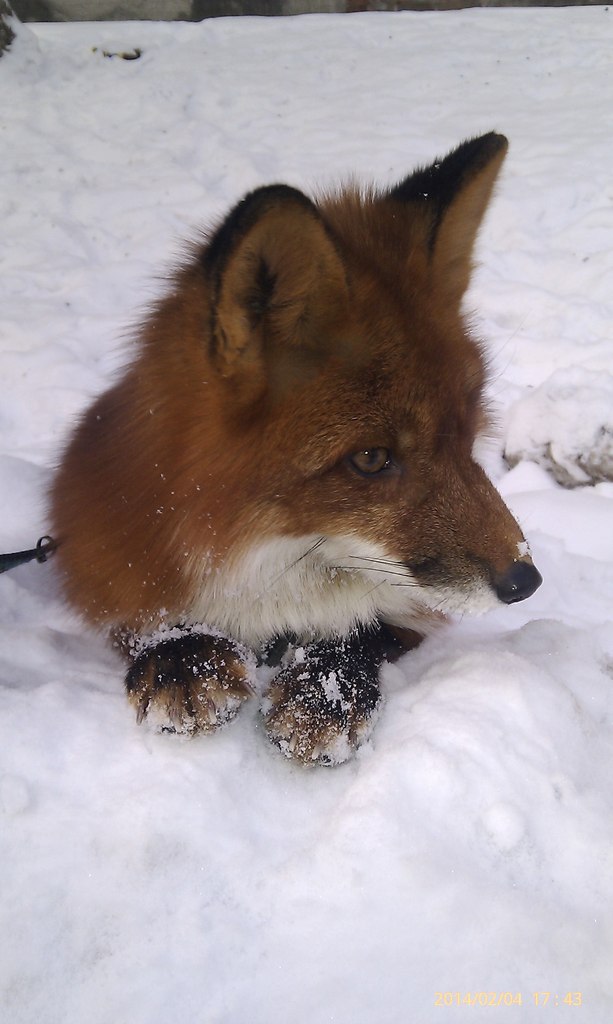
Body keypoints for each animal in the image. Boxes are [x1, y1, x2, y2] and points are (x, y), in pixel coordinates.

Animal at [51, 132, 540, 765]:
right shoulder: (103, 558)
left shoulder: (413, 607)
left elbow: (366, 624)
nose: (525, 581)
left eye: (468, 425)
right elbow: (144, 615)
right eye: (371, 459)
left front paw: (324, 685)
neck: (259, 557)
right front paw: (181, 656)